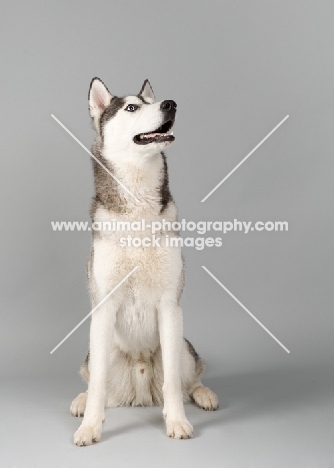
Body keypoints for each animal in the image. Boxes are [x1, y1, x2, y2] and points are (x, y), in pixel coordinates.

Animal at [70, 77, 219, 446]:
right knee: (96, 383)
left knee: (188, 378)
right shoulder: (104, 306)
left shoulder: (169, 305)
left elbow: (172, 384)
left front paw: (177, 421)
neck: (137, 205)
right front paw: (90, 427)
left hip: (181, 345)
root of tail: (139, 388)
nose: (170, 104)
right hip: (96, 350)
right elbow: (97, 385)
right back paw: (81, 401)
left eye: (151, 101)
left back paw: (203, 393)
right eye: (131, 107)